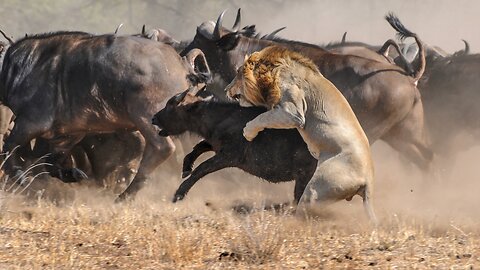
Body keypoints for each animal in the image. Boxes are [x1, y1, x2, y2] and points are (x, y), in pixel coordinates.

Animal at [226, 46, 378, 224]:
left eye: (238, 72)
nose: (226, 89)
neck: (274, 70)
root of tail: (368, 180)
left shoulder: (292, 113)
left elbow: (263, 117)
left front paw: (248, 132)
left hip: (316, 189)